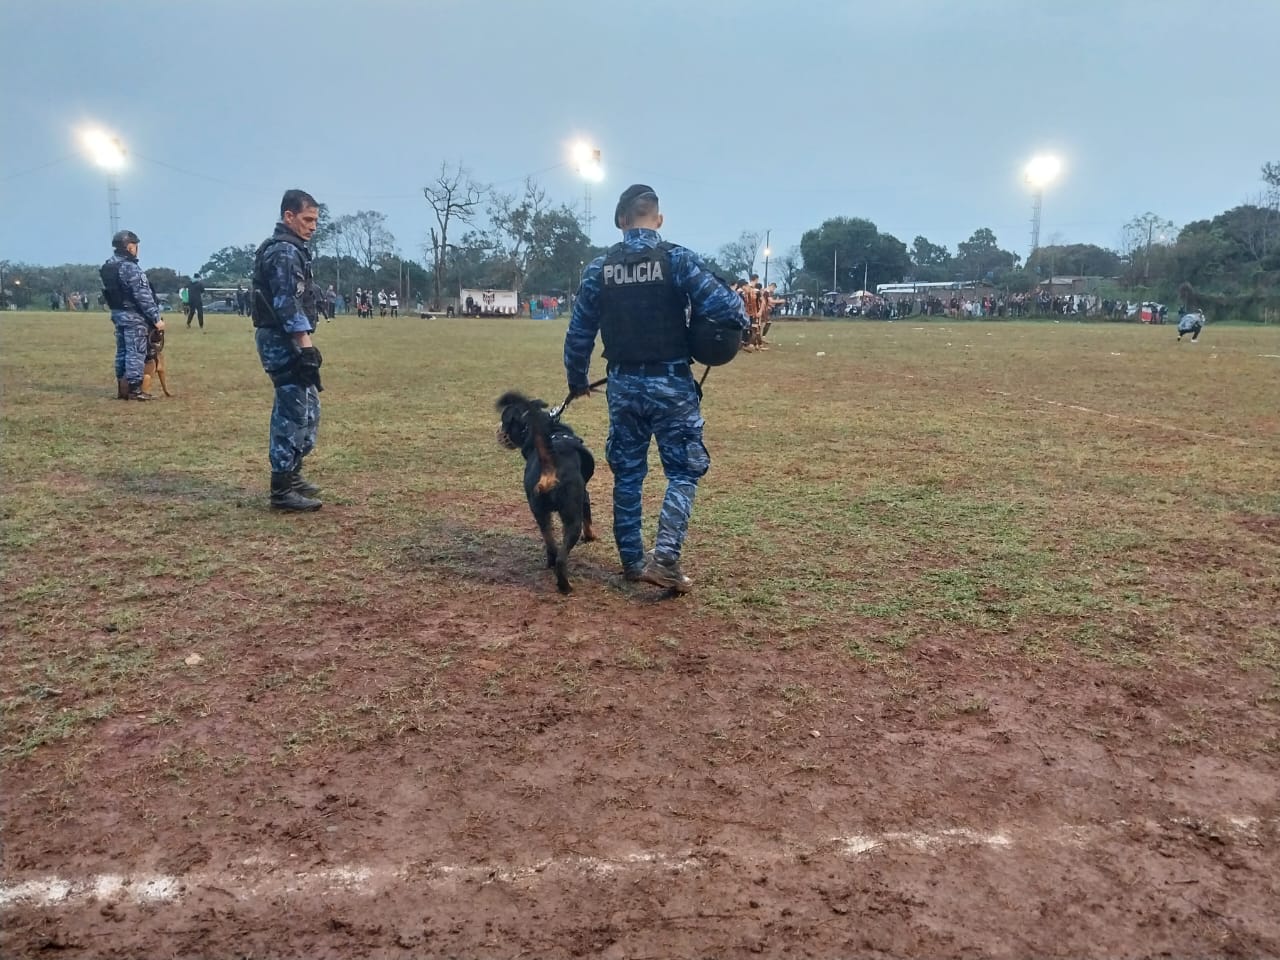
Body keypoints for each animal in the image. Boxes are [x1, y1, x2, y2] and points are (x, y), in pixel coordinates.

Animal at [499, 391, 599, 593]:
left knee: (551, 546)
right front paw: (591, 536)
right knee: (561, 558)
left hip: (540, 514)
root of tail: (549, 465)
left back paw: (551, 564)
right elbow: (588, 519)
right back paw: (565, 587)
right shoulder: (585, 497)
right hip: (572, 518)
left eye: (504, 419)